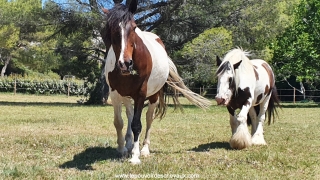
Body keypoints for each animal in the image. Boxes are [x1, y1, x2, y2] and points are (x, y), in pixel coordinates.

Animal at [104, 0, 211, 165]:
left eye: (134, 27)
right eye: (113, 29)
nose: (125, 63)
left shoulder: (141, 94)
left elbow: (137, 125)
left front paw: (135, 156)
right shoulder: (115, 94)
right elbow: (119, 122)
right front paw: (122, 150)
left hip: (154, 96)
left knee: (148, 119)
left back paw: (144, 149)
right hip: (127, 96)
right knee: (129, 114)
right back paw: (128, 144)